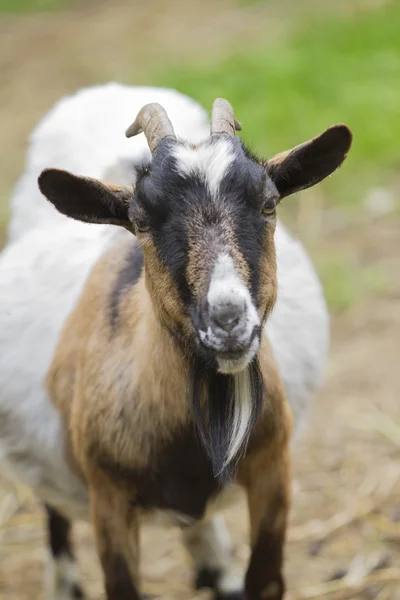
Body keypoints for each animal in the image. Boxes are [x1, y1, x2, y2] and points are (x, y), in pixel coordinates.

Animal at [0, 84, 350, 600]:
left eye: (269, 204)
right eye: (141, 221)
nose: (228, 319)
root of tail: (109, 90)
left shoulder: (274, 466)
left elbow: (264, 580)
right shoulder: (108, 499)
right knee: (55, 513)